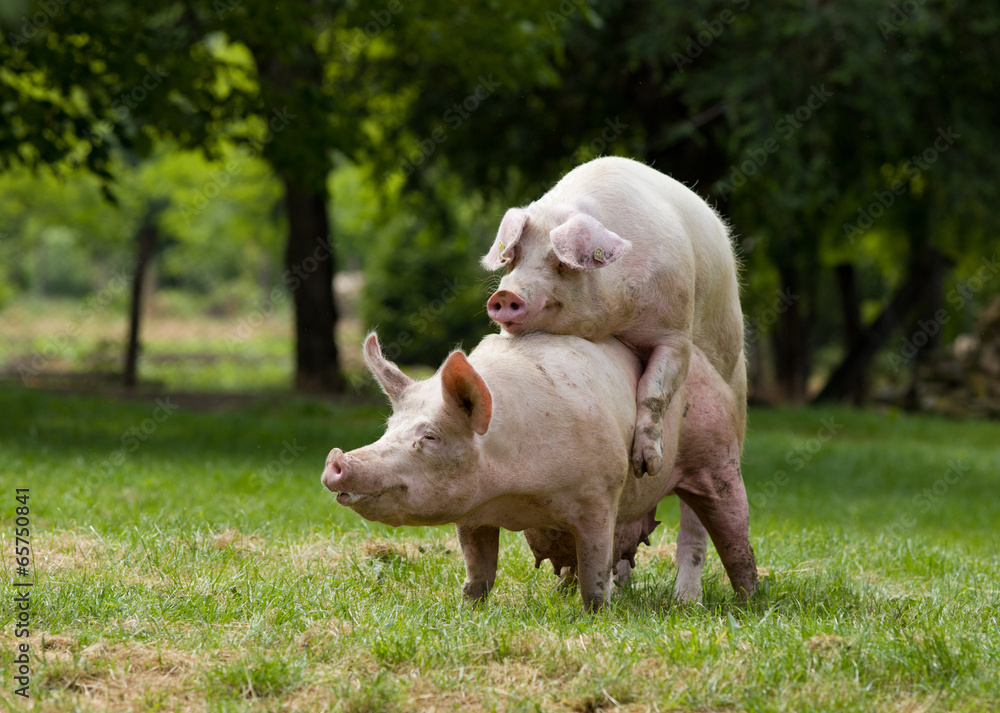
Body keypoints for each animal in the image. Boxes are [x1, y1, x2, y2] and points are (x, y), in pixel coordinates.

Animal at [321, 331, 756, 611]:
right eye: (389, 428)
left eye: (429, 436)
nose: (336, 461)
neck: (514, 495)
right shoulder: (473, 516)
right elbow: (479, 570)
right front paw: (467, 609)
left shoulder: (600, 495)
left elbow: (595, 568)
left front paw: (597, 615)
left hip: (716, 456)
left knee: (729, 532)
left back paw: (744, 602)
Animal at [482, 156, 746, 479]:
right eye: (514, 259)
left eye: (560, 263)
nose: (505, 295)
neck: (615, 321)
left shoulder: (676, 332)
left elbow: (653, 390)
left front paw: (647, 467)